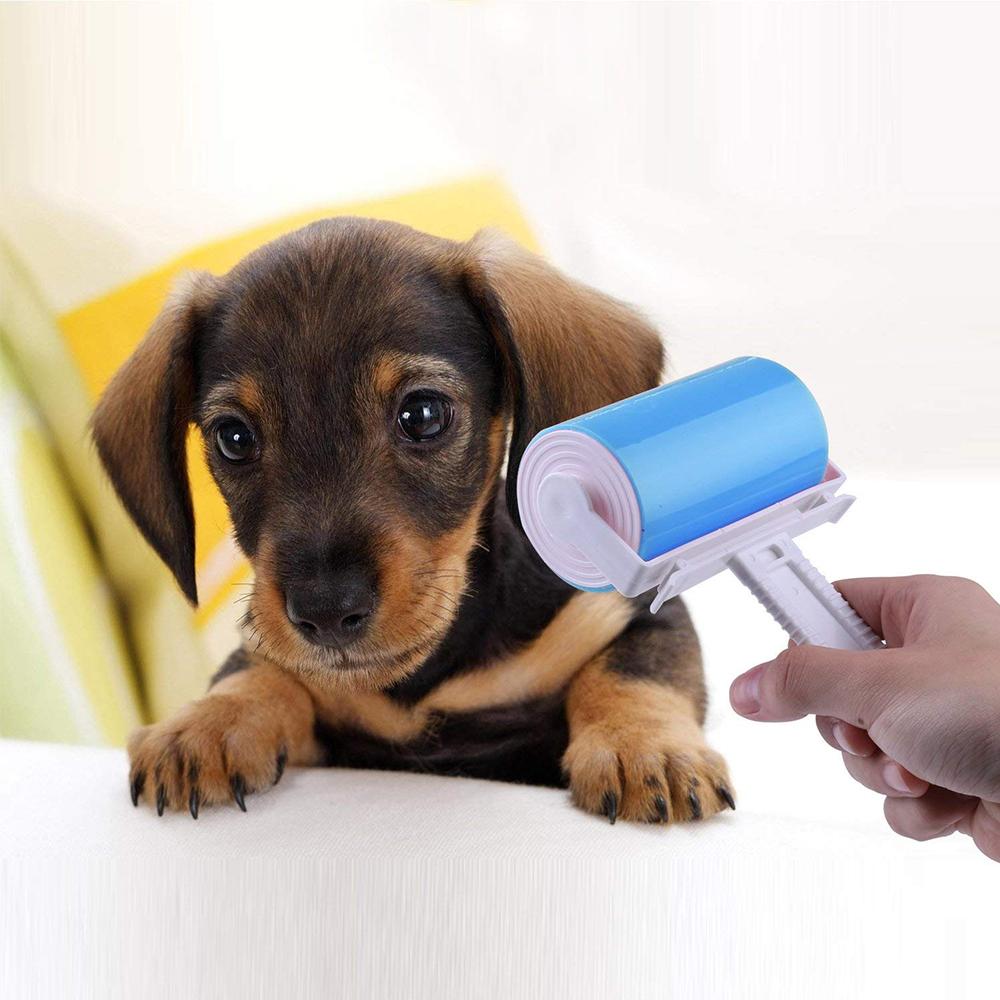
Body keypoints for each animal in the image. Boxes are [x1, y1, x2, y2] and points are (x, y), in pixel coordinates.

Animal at [92, 223, 736, 824]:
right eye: (234, 438)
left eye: (423, 414)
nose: (326, 612)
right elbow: (256, 670)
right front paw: (205, 726)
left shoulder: (637, 614)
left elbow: (632, 673)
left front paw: (645, 749)